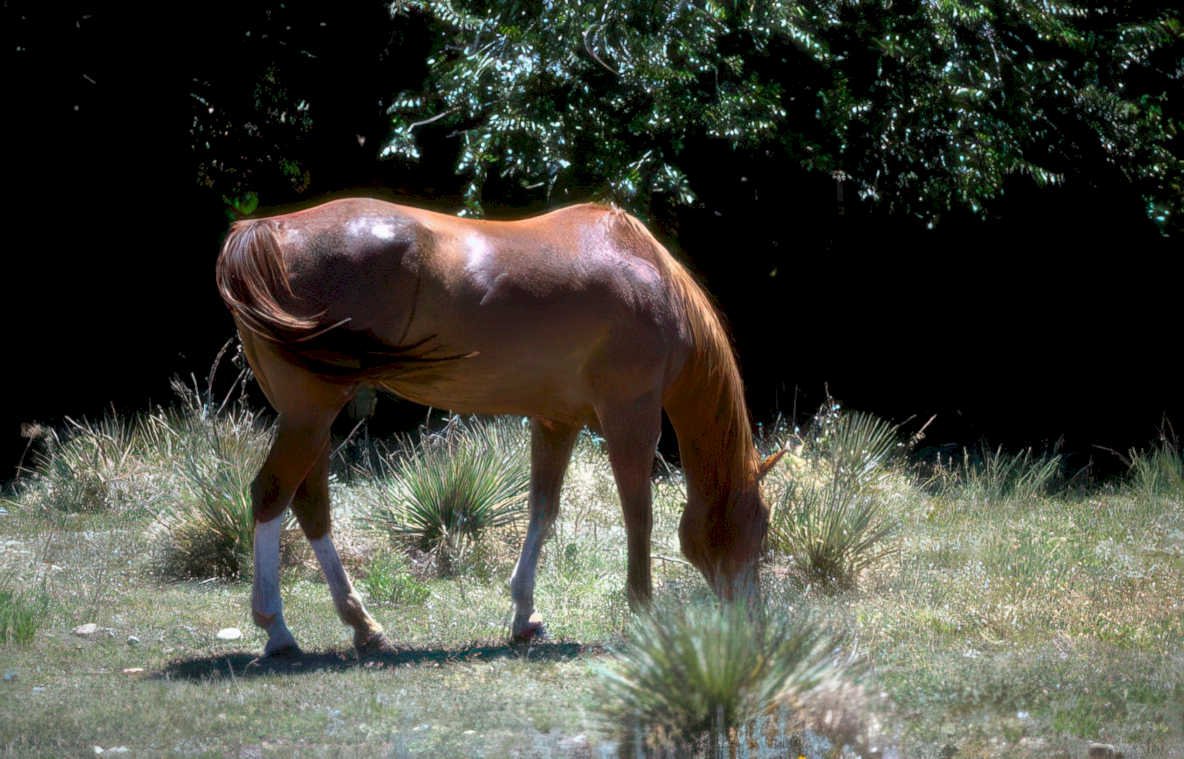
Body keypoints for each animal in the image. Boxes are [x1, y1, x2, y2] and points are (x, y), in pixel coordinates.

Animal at [216, 198, 785, 657]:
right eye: (758, 525)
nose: (753, 625)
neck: (646, 273)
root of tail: (264, 229)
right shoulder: (631, 416)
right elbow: (638, 515)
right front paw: (644, 615)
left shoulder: (557, 422)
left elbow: (543, 511)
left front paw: (525, 616)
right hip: (310, 416)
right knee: (271, 494)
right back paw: (277, 630)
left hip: (309, 420)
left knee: (310, 505)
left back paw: (363, 626)